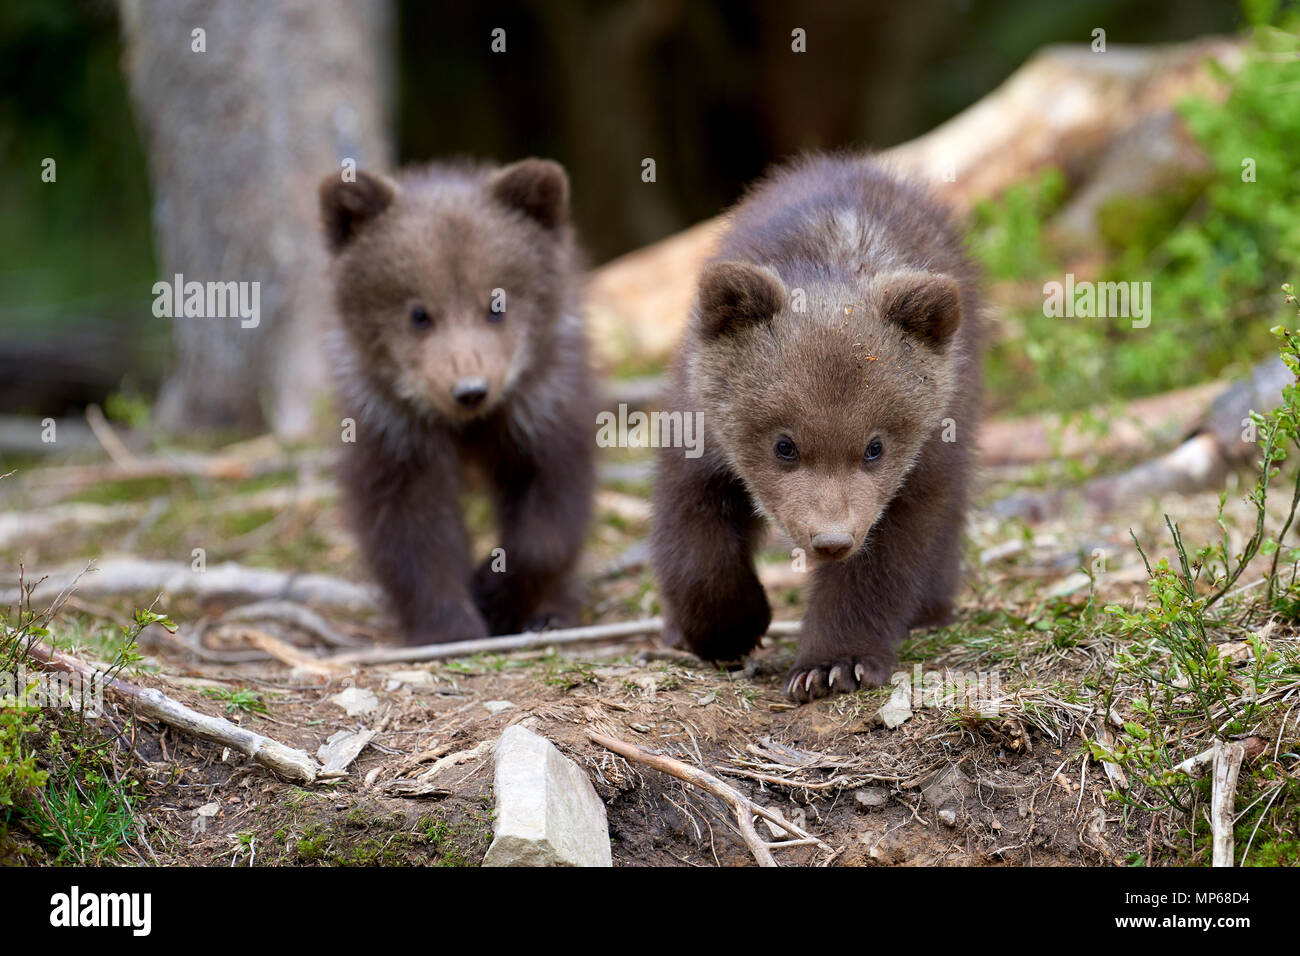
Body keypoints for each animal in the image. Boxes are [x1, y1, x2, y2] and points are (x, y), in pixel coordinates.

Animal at [318, 158, 595, 645]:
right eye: (418, 313)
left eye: (496, 304)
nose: (470, 390)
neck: (468, 427)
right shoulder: (392, 424)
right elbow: (410, 526)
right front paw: (450, 625)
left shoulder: (542, 400)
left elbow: (551, 512)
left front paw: (497, 593)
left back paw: (555, 610)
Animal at [650, 153, 983, 701]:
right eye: (785, 444)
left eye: (874, 446)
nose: (831, 540)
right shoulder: (700, 428)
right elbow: (695, 530)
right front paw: (729, 627)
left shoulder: (923, 456)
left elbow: (888, 554)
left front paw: (832, 664)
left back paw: (930, 607)